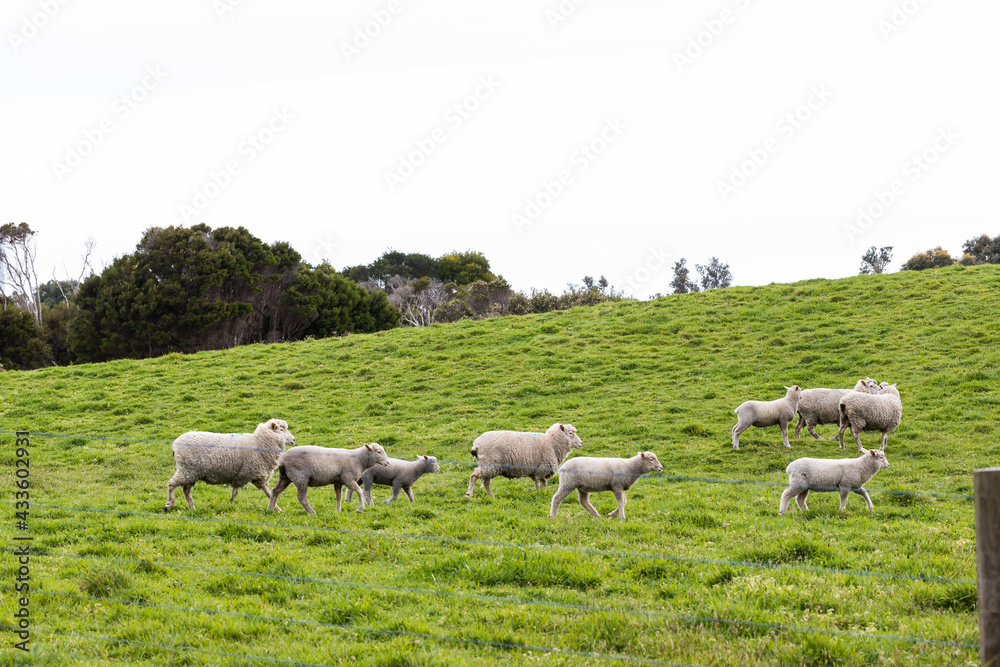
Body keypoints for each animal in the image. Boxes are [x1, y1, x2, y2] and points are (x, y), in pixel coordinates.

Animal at [164, 418, 295, 512]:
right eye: (281, 429)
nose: (293, 440)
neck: (258, 442)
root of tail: (175, 445)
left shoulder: (252, 476)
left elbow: (267, 492)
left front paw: (278, 509)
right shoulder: (246, 474)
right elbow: (237, 492)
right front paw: (231, 504)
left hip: (191, 473)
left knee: (186, 491)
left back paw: (192, 508)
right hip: (186, 470)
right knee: (171, 484)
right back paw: (169, 504)